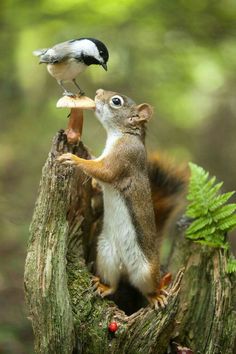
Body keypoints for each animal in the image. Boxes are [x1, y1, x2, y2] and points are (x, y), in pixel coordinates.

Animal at [58, 88, 187, 310]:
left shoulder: (124, 157)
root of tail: (126, 268)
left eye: (116, 101)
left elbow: (104, 172)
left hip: (146, 271)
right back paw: (103, 286)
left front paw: (74, 159)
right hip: (106, 255)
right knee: (114, 283)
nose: (97, 92)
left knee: (148, 288)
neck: (121, 134)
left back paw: (157, 296)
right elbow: (99, 181)